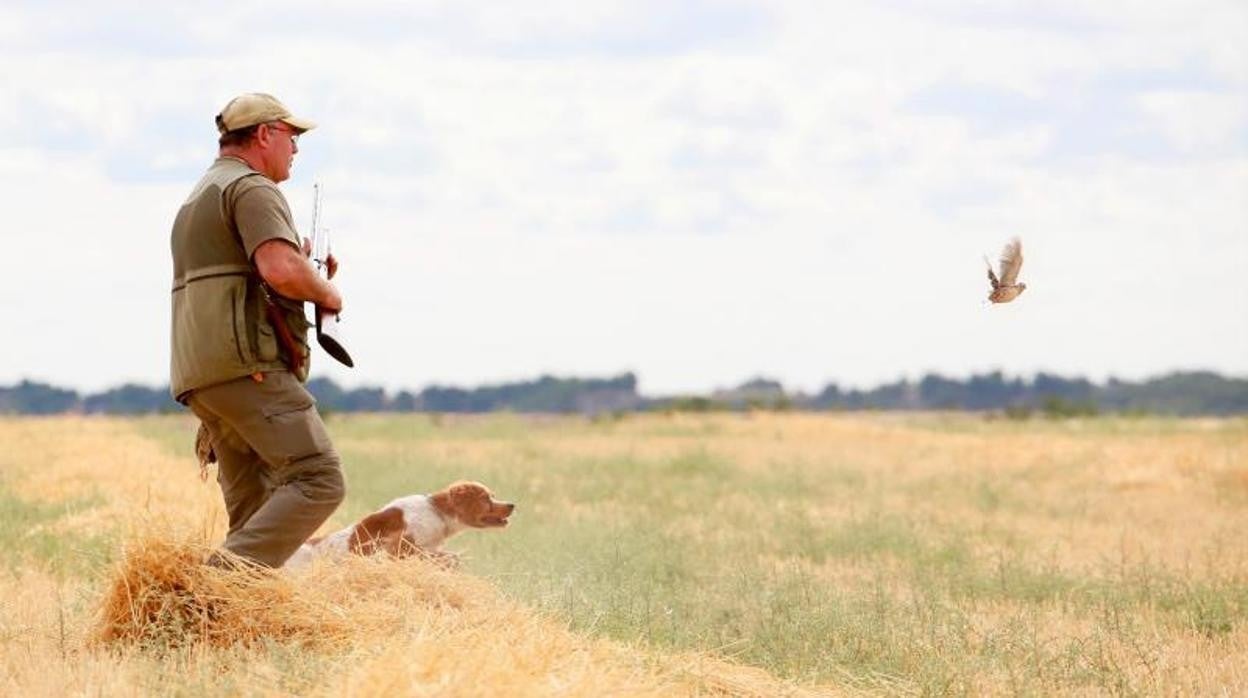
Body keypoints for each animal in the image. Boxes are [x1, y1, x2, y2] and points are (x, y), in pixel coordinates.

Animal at [285, 479, 514, 574]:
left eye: (492, 496)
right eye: (486, 498)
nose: (512, 505)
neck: (436, 512)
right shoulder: (399, 548)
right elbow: (448, 556)